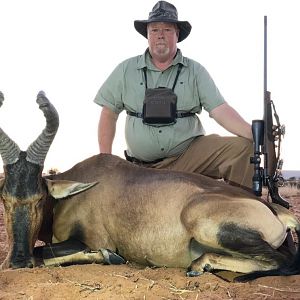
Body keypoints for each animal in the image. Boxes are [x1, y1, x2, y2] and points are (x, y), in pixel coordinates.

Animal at [0, 92, 298, 282]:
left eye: (40, 198)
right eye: (4, 198)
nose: (17, 261)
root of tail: (276, 211)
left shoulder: (92, 238)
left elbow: (43, 253)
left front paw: (109, 257)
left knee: (282, 261)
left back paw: (202, 266)